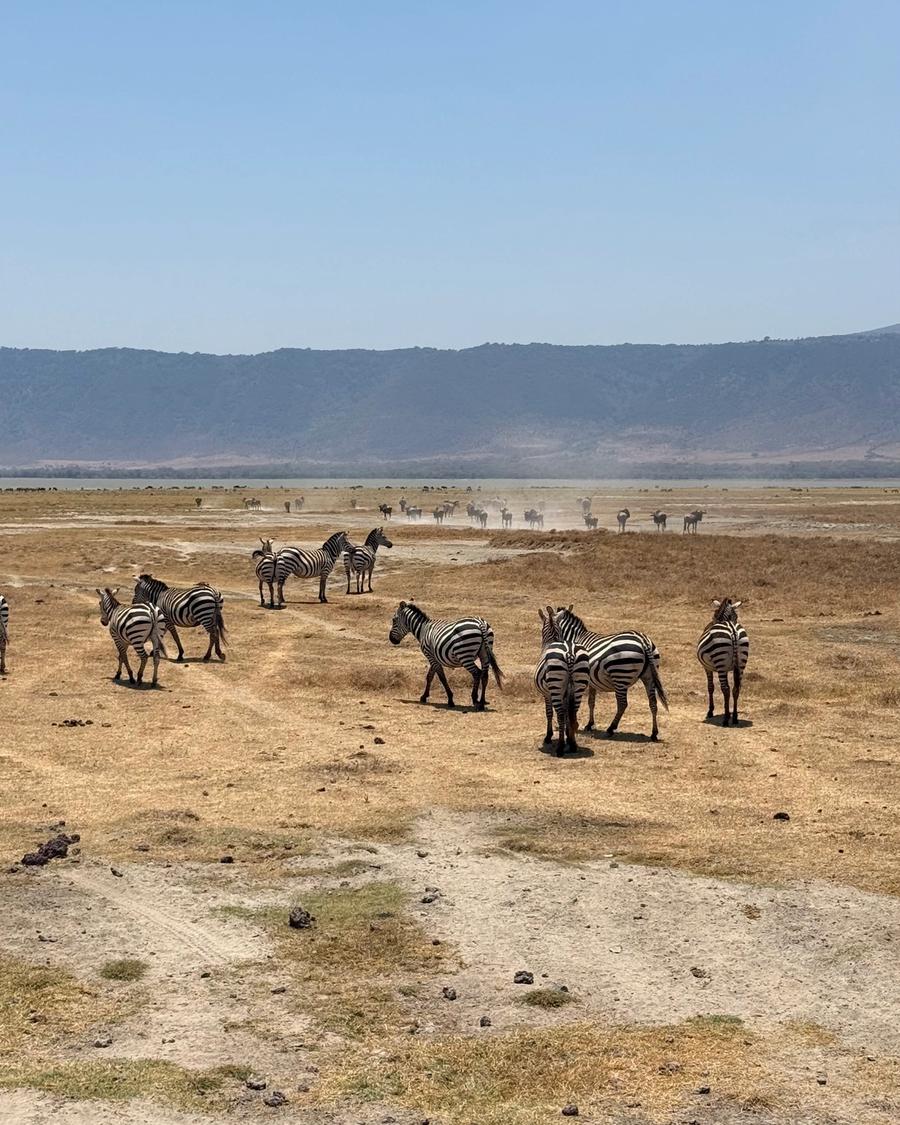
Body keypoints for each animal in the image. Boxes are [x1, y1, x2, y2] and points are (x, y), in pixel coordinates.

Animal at [534, 606, 591, 755]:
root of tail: (570, 652)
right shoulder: (565, 693)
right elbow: (567, 714)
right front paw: (567, 735)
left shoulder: (547, 694)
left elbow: (549, 712)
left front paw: (548, 736)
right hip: (579, 685)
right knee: (573, 713)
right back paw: (573, 744)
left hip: (555, 685)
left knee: (559, 714)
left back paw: (560, 747)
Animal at [554, 606, 668, 741]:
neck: (575, 637)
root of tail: (643, 640)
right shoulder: (591, 681)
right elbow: (591, 701)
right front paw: (590, 724)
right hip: (649, 676)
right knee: (653, 703)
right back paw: (654, 733)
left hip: (621, 675)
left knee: (622, 704)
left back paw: (611, 728)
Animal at [697, 598, 750, 726]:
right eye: (737, 616)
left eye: (715, 614)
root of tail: (732, 629)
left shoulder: (707, 667)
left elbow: (710, 687)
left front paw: (710, 711)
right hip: (742, 662)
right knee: (736, 688)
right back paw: (734, 717)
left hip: (720, 659)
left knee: (725, 689)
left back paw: (726, 719)